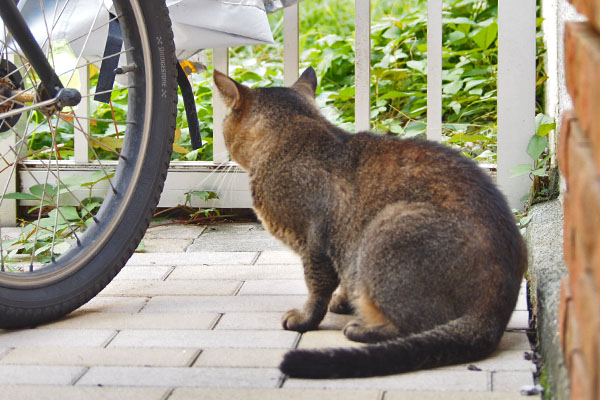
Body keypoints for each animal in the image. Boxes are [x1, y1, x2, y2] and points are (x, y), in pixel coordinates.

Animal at [213, 66, 528, 378]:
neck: (296, 132)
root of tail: (493, 315)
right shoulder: (339, 246)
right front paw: (344, 300)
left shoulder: (314, 242)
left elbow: (316, 290)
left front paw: (304, 318)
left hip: (386, 227)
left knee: (417, 325)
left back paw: (363, 329)